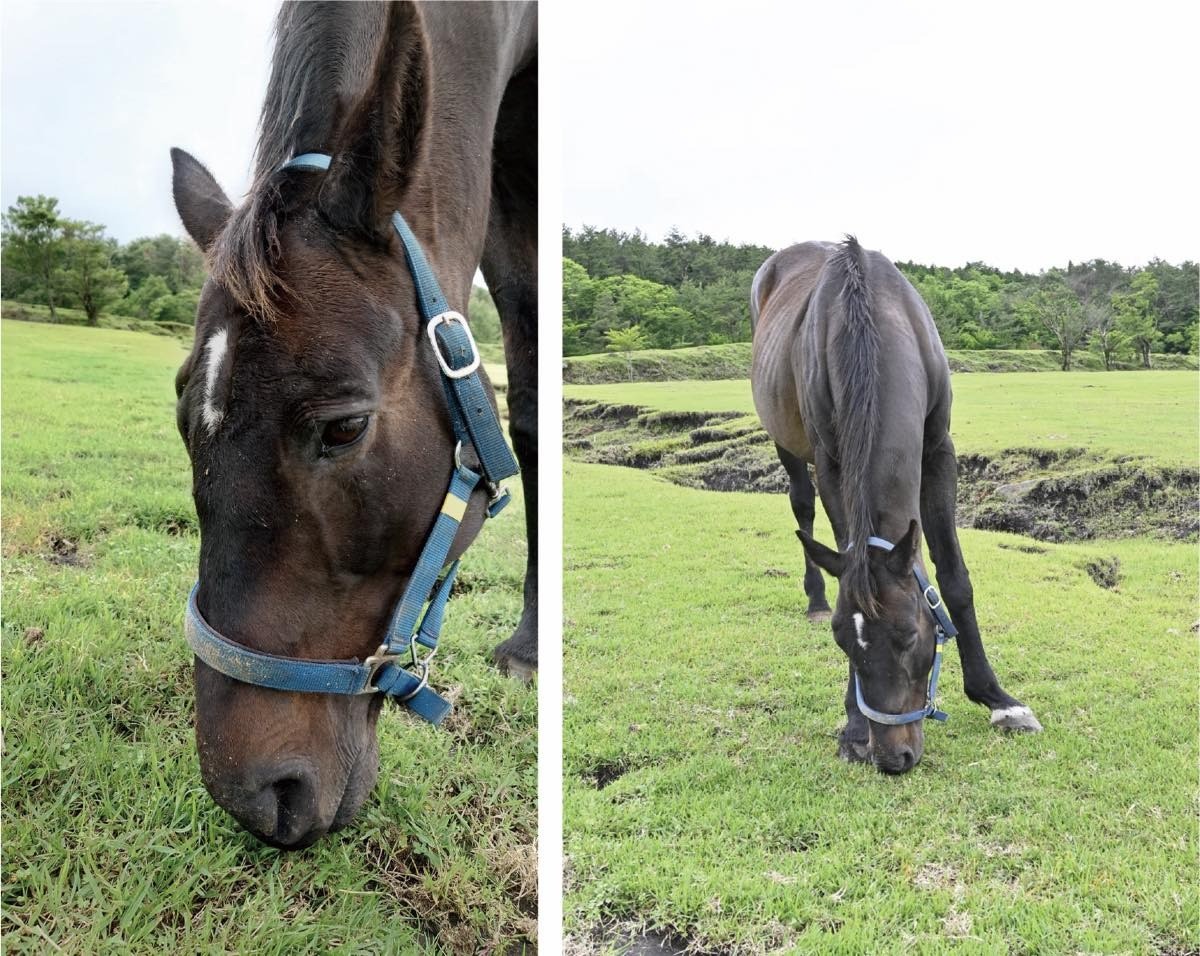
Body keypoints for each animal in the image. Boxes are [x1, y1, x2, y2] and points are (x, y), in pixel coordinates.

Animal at [750, 237, 1041, 775]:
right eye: (842, 641)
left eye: (909, 636)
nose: (891, 757)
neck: (869, 322)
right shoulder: (833, 463)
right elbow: (848, 560)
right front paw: (853, 725)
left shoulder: (938, 448)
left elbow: (954, 579)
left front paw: (998, 699)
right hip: (786, 442)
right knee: (802, 507)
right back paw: (815, 598)